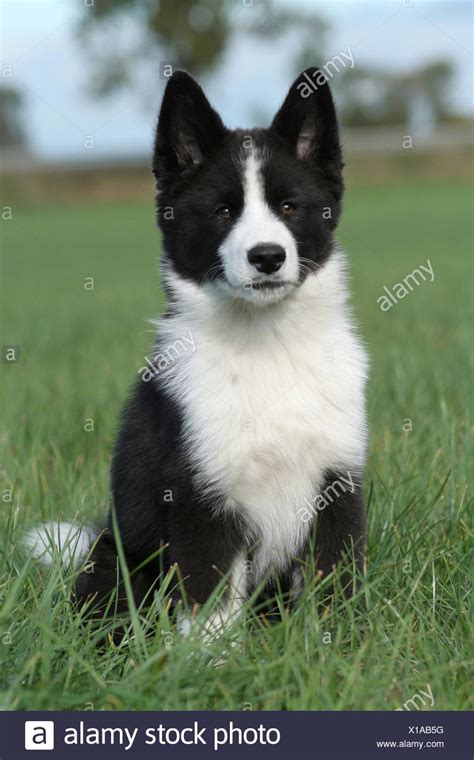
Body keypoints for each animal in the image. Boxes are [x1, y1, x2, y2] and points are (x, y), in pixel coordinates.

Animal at [25, 68, 368, 636]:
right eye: (224, 211)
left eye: (289, 207)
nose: (267, 257)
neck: (264, 346)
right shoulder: (200, 497)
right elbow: (210, 605)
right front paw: (213, 658)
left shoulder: (336, 482)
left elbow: (332, 584)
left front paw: (336, 647)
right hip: (115, 562)